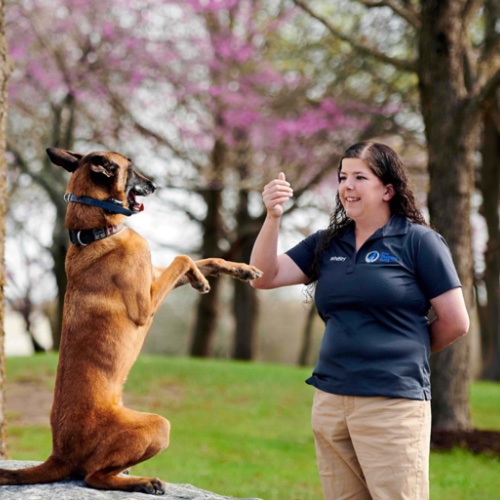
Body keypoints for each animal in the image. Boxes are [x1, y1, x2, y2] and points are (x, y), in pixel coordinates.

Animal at [0, 147, 264, 492]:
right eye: (132, 169)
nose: (155, 185)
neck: (96, 233)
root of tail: (59, 454)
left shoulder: (155, 275)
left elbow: (205, 259)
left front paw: (238, 270)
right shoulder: (146, 304)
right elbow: (183, 258)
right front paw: (200, 279)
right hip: (157, 426)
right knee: (93, 477)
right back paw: (143, 481)